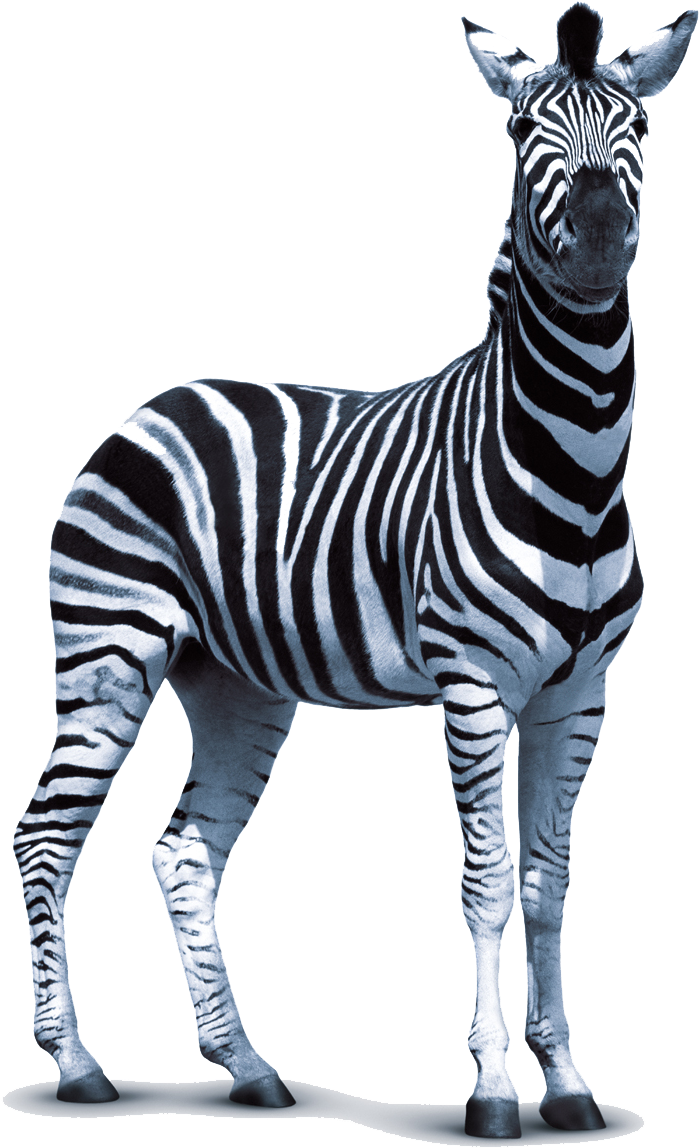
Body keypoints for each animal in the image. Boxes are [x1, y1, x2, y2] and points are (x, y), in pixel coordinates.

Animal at [13, 4, 695, 1138]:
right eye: (519, 134)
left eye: (637, 131)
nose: (603, 241)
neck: (575, 461)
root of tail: (156, 402)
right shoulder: (473, 687)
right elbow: (488, 882)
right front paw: (493, 1090)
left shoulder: (581, 695)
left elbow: (551, 883)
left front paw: (568, 1084)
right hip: (109, 648)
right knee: (45, 836)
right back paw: (75, 1063)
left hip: (234, 683)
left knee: (184, 853)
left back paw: (247, 1067)